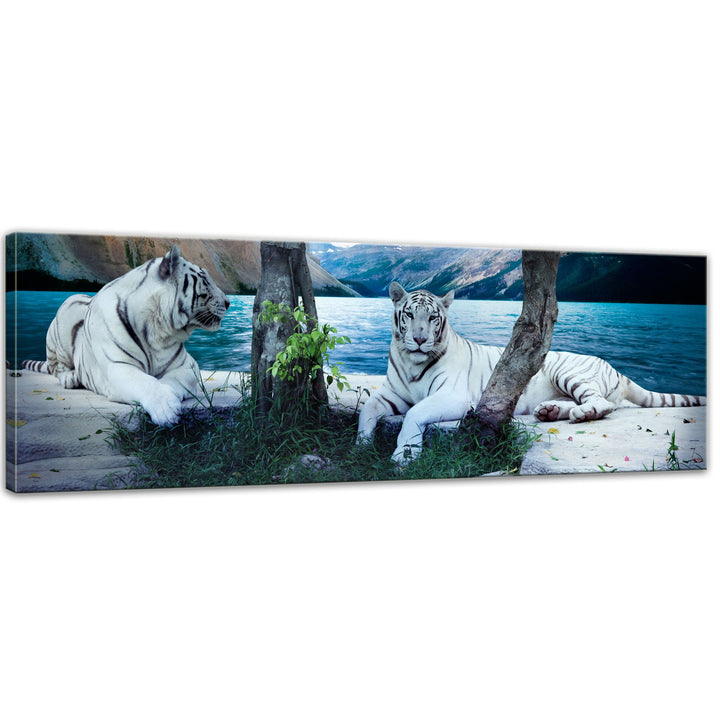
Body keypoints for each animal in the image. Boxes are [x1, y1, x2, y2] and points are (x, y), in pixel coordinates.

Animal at [22, 245, 229, 426]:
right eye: (205, 279)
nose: (228, 302)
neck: (159, 329)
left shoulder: (188, 365)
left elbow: (170, 380)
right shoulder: (119, 367)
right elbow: (147, 382)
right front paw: (166, 409)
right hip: (67, 312)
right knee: (56, 367)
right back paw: (71, 378)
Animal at [357, 281, 706, 465]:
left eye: (432, 318)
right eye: (409, 315)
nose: (418, 339)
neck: (412, 361)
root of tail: (615, 368)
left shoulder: (454, 397)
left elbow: (415, 413)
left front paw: (403, 456)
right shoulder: (390, 394)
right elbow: (367, 411)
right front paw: (361, 445)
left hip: (568, 372)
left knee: (604, 403)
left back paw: (580, 413)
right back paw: (550, 411)